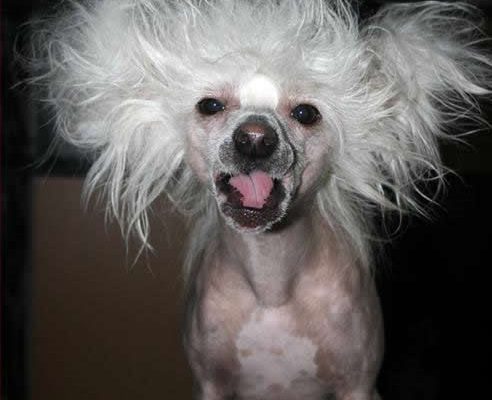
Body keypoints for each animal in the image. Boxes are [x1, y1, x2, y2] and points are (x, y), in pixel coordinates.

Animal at [26, 0, 490, 399]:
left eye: (306, 113)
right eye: (210, 105)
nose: (254, 139)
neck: (271, 282)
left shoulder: (358, 386)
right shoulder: (210, 385)